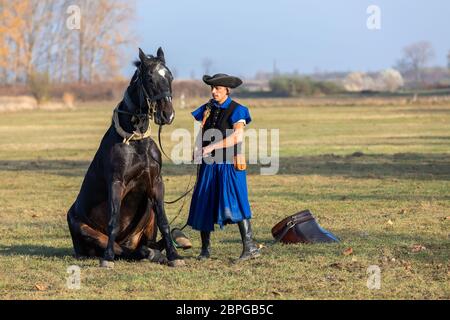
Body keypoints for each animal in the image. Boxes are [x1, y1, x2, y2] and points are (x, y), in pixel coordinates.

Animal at [67, 47, 183, 268]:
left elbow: (164, 220)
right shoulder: (116, 183)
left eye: (170, 76)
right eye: (149, 78)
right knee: (124, 249)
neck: (135, 141)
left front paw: (174, 256)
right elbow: (113, 221)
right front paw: (107, 259)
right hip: (82, 227)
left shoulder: (156, 183)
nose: (168, 115)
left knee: (146, 244)